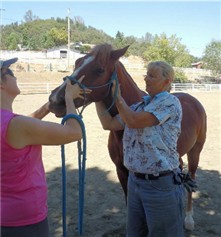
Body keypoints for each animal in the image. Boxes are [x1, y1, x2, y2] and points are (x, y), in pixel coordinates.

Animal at [48, 43, 207, 231]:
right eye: (77, 62)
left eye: (100, 69)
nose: (54, 100)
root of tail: (192, 99)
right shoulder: (121, 171)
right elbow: (128, 201)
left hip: (195, 152)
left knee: (192, 178)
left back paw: (188, 219)